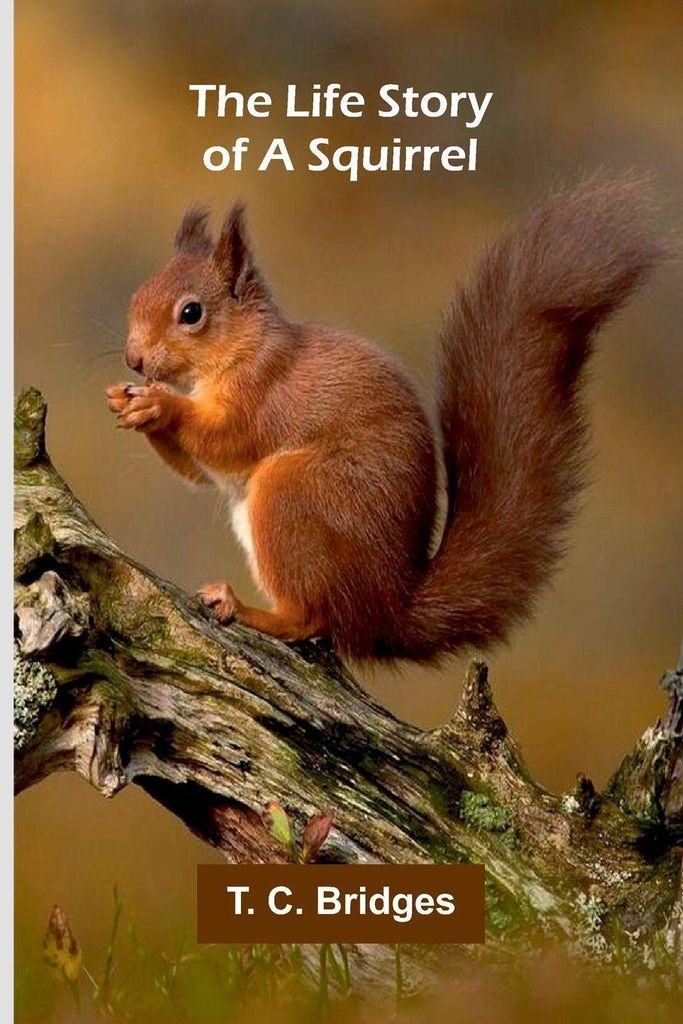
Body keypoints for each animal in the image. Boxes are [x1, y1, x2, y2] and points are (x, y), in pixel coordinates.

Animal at [107, 177, 663, 663]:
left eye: (191, 313)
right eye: (136, 296)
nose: (133, 359)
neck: (242, 350)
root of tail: (385, 611)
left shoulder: (265, 394)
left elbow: (226, 440)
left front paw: (161, 404)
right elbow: (200, 474)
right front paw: (128, 402)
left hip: (294, 493)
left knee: (311, 618)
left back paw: (247, 610)